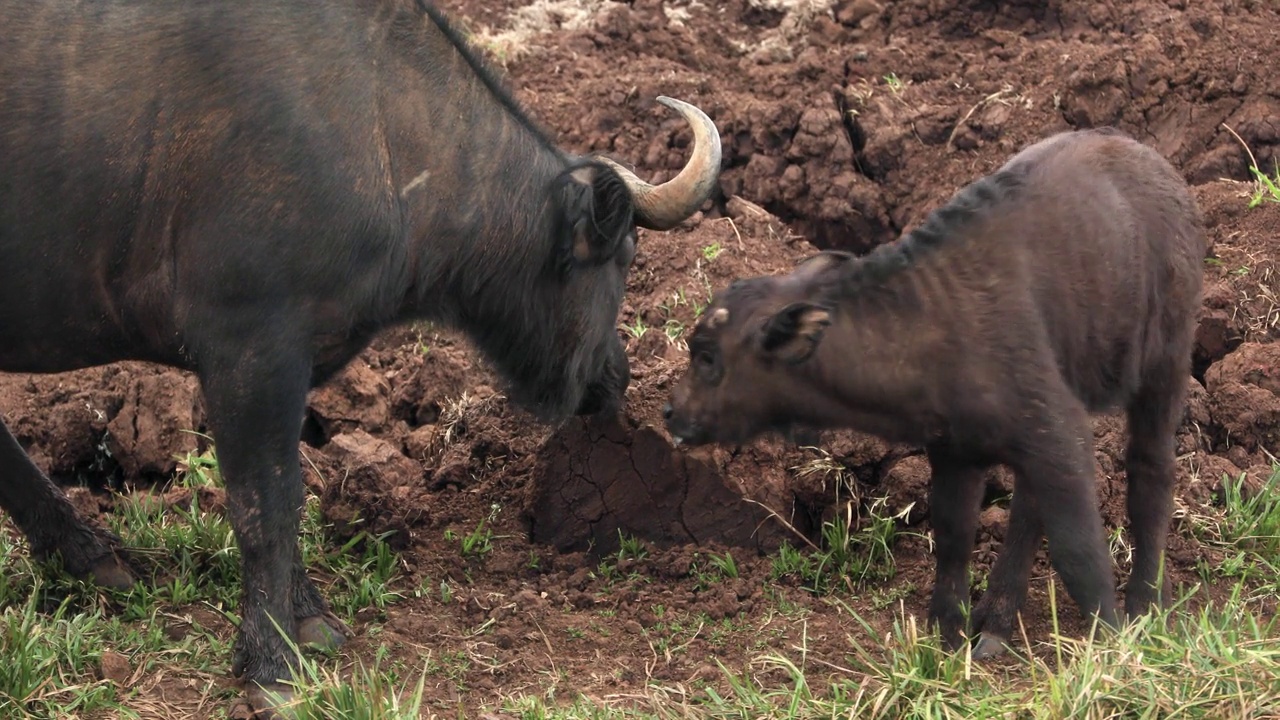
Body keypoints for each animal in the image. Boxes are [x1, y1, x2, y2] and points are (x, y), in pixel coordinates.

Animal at [0, 0, 721, 707]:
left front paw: (308, 618)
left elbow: (288, 492)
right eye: (626, 254)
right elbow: (264, 505)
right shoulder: (249, 352)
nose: (617, 376)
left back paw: (90, 555)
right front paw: (271, 666)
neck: (380, 128)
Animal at [665, 127, 1203, 655]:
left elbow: (1078, 548)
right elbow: (953, 535)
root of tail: (1149, 160)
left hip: (1166, 362)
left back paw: (1146, 604)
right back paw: (996, 624)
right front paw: (948, 639)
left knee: (1150, 469)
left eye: (707, 356)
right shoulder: (958, 449)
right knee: (1029, 505)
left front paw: (1112, 642)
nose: (671, 413)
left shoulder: (1058, 430)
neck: (927, 329)